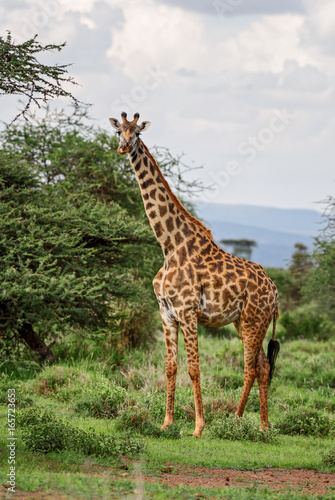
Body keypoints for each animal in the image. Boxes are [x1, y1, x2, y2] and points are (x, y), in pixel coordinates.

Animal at [110, 112, 280, 438]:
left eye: (137, 132)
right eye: (118, 132)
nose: (123, 148)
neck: (169, 246)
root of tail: (276, 291)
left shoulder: (188, 311)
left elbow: (194, 368)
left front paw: (199, 427)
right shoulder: (166, 313)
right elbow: (170, 367)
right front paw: (166, 423)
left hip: (254, 321)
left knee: (251, 367)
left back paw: (239, 421)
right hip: (245, 322)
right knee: (263, 366)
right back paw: (260, 425)